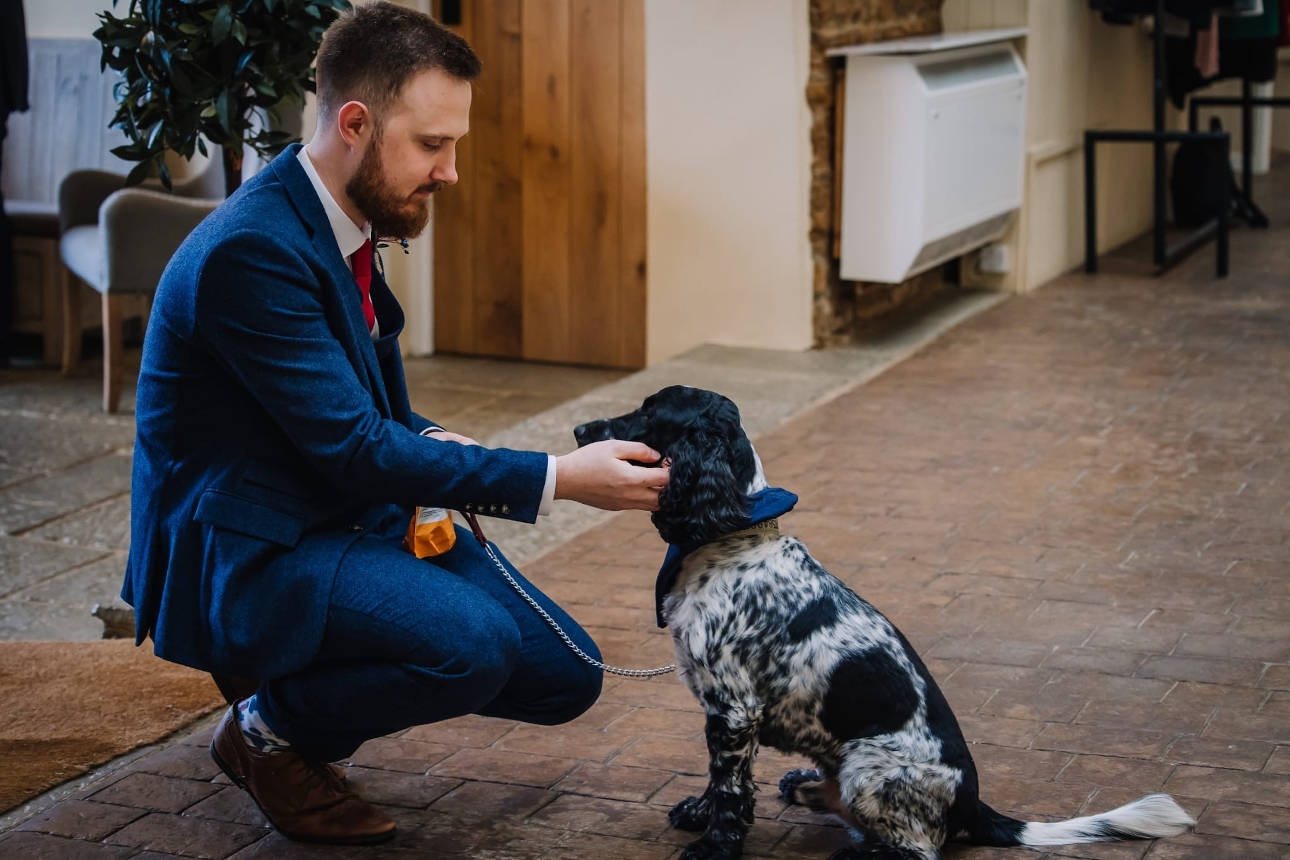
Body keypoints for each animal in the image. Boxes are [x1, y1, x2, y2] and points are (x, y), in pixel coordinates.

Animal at [570, 389, 1191, 860]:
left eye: (651, 412)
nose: (578, 429)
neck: (727, 538)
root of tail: (974, 805)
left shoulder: (734, 709)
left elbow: (729, 788)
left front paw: (714, 846)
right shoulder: (726, 714)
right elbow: (725, 780)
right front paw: (701, 816)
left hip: (870, 771)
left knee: (917, 850)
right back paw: (804, 788)